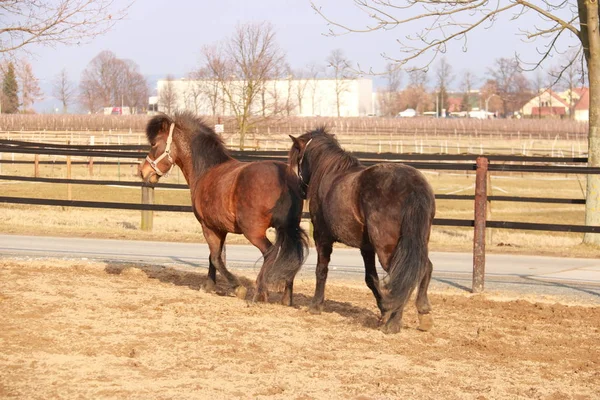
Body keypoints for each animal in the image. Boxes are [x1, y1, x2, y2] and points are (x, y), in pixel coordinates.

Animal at [139, 111, 310, 304]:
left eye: (154, 144)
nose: (143, 172)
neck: (207, 169)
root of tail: (285, 178)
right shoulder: (220, 229)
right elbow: (214, 256)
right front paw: (209, 285)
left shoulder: (208, 227)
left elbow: (215, 257)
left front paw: (237, 287)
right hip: (288, 229)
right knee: (292, 257)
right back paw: (286, 299)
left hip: (254, 232)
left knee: (271, 253)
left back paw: (260, 293)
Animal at [288, 127, 434, 332]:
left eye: (297, 158)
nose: (299, 189)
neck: (329, 172)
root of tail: (413, 186)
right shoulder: (366, 248)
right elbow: (371, 279)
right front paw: (384, 309)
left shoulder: (322, 237)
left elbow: (321, 270)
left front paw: (316, 305)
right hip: (416, 242)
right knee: (424, 268)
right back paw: (422, 313)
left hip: (389, 249)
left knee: (404, 275)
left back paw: (394, 323)